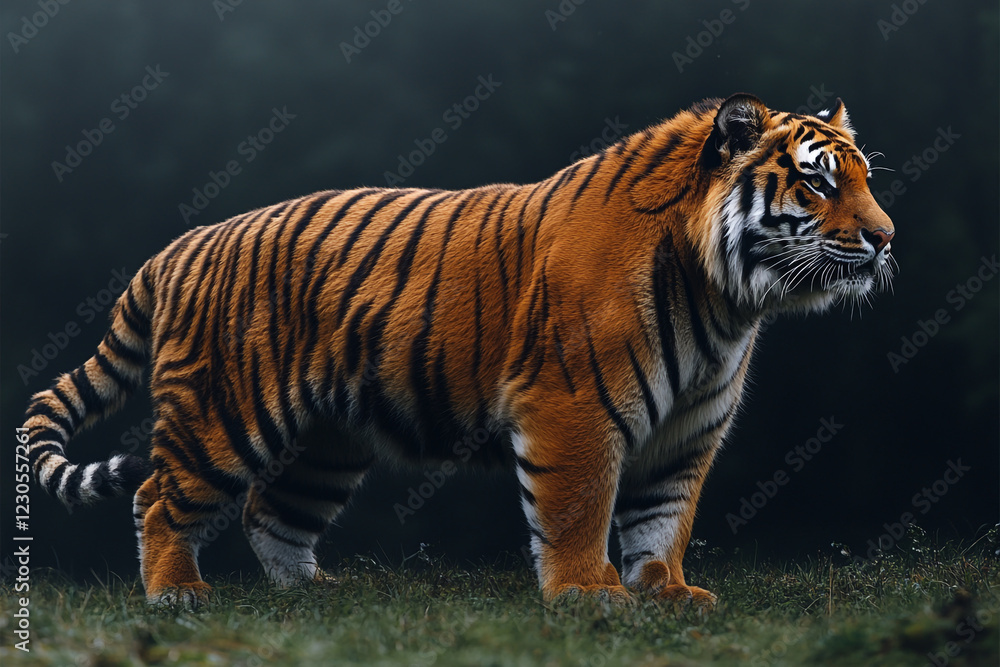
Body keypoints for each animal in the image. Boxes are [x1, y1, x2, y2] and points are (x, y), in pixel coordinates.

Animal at [22, 93, 894, 607]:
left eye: (865, 179)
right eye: (819, 184)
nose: (887, 239)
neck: (726, 299)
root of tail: (177, 246)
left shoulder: (688, 430)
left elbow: (663, 518)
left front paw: (667, 592)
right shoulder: (575, 407)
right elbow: (579, 510)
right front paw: (588, 595)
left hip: (329, 440)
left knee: (273, 510)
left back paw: (315, 595)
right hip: (223, 415)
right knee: (157, 497)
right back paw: (179, 594)